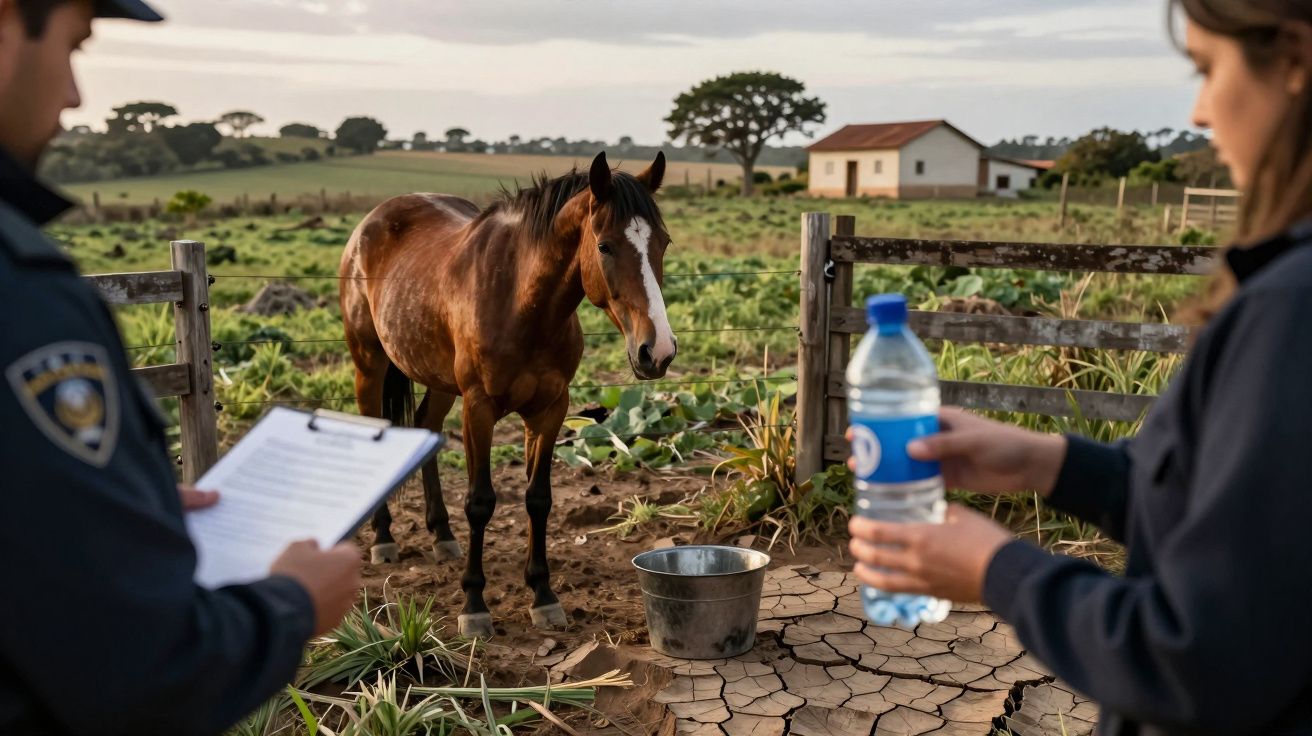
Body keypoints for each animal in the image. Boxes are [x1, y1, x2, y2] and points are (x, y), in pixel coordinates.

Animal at [340, 152, 676, 638]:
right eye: (605, 246)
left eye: (662, 243)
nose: (658, 351)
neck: (521, 302)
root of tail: (371, 222)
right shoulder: (479, 409)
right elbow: (480, 502)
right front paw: (474, 605)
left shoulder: (550, 410)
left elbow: (539, 499)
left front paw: (543, 595)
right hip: (369, 364)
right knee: (375, 427)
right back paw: (384, 539)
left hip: (438, 380)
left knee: (425, 427)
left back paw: (442, 535)